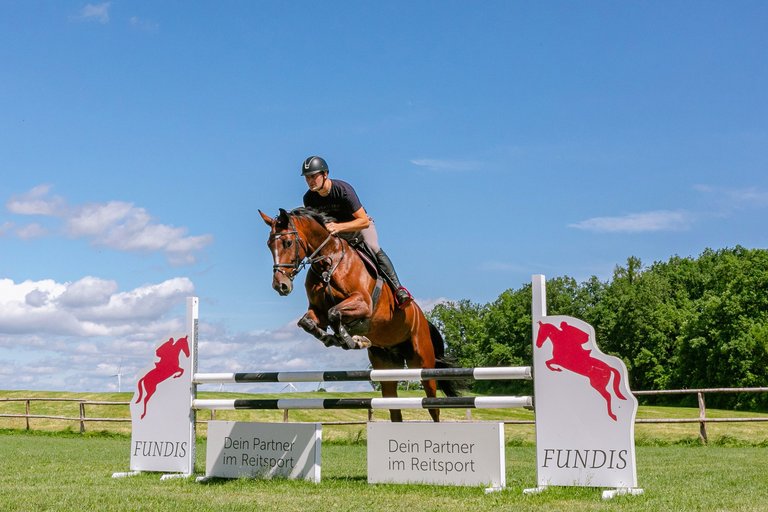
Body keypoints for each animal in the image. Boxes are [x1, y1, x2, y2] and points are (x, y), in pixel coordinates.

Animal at [260, 206, 460, 422]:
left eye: (288, 242)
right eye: (269, 245)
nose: (280, 286)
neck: (329, 263)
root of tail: (423, 319)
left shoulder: (363, 303)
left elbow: (334, 313)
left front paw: (351, 339)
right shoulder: (317, 310)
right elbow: (308, 322)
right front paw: (337, 338)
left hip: (422, 362)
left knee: (433, 406)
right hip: (386, 366)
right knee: (394, 408)